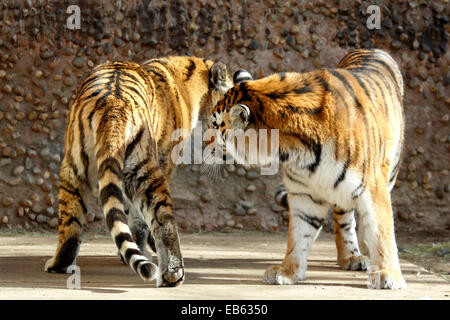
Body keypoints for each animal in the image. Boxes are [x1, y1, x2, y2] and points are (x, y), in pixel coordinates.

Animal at [44, 55, 232, 288]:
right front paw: (143, 249)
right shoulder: (165, 162)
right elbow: (139, 220)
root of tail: (113, 105)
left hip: (74, 169)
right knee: (163, 218)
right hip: (143, 169)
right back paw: (173, 273)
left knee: (70, 224)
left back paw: (59, 265)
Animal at [209, 48, 406, 290]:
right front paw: (287, 271)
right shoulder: (305, 193)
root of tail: (372, 49)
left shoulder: (373, 186)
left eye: (216, 126)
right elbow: (299, 235)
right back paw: (351, 257)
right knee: (343, 220)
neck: (294, 149)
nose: (204, 143)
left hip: (388, 171)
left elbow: (381, 230)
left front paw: (388, 275)